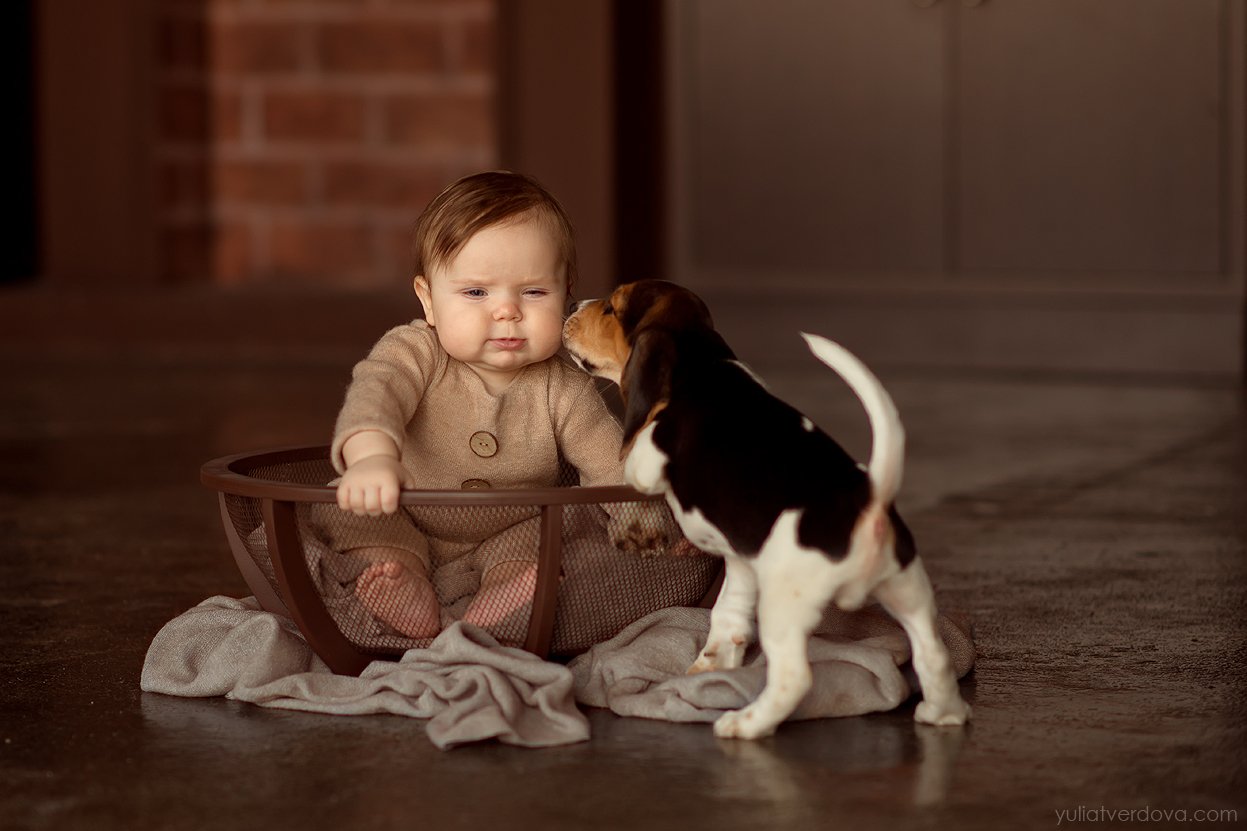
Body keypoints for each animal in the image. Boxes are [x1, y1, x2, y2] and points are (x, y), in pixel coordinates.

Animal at [566, 279, 972, 738]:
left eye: (612, 309)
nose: (572, 304)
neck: (702, 362)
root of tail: (866, 503)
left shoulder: (646, 462)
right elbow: (727, 619)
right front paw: (709, 666)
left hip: (785, 608)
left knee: (795, 677)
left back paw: (745, 723)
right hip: (908, 589)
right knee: (933, 654)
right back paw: (943, 713)